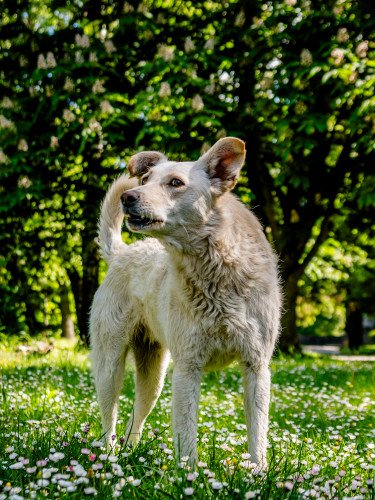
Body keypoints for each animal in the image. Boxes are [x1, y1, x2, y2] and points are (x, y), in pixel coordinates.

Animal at [89, 137, 280, 468]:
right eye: (144, 180)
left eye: (176, 183)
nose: (128, 197)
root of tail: (122, 253)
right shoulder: (188, 367)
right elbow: (186, 432)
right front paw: (189, 473)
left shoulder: (256, 367)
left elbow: (258, 430)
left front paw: (259, 471)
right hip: (110, 365)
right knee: (108, 416)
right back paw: (110, 456)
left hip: (153, 376)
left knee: (135, 417)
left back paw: (130, 452)